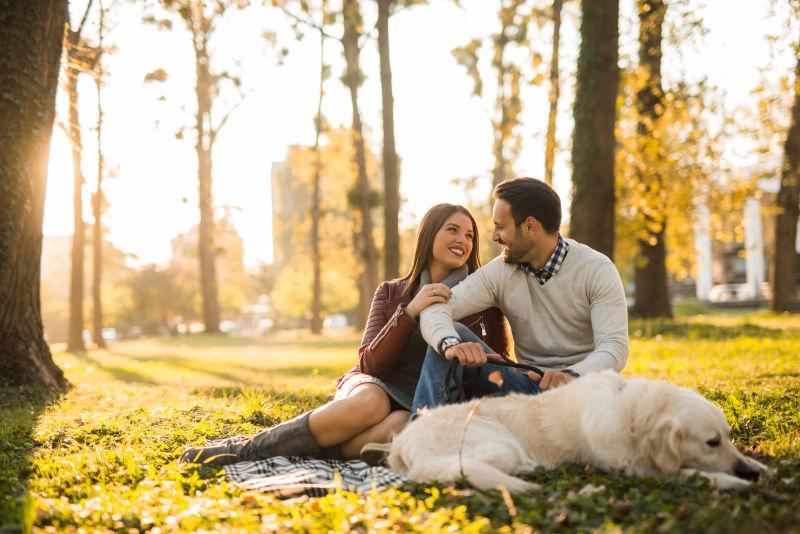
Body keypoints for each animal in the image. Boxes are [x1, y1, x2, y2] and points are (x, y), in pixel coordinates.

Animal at [390, 372, 768, 494]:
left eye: (728, 436)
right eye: (711, 443)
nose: (746, 472)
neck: (629, 414)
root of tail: (402, 446)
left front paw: (760, 467)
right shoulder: (635, 470)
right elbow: (693, 473)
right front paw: (733, 481)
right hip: (500, 444)